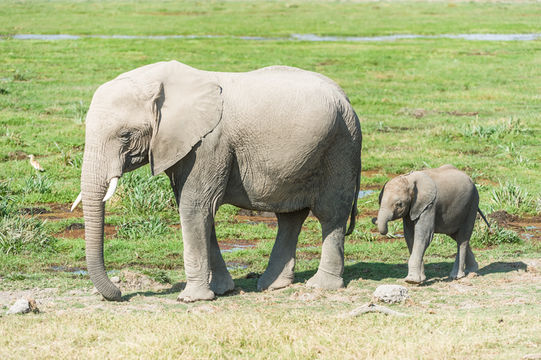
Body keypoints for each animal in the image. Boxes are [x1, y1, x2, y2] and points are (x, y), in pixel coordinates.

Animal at [70, 60, 358, 302]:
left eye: (125, 135)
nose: (119, 293)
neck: (161, 84)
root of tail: (345, 97)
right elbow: (200, 211)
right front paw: (222, 290)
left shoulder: (209, 144)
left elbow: (194, 208)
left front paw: (191, 298)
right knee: (290, 217)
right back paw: (273, 285)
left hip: (341, 144)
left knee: (331, 213)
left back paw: (321, 286)